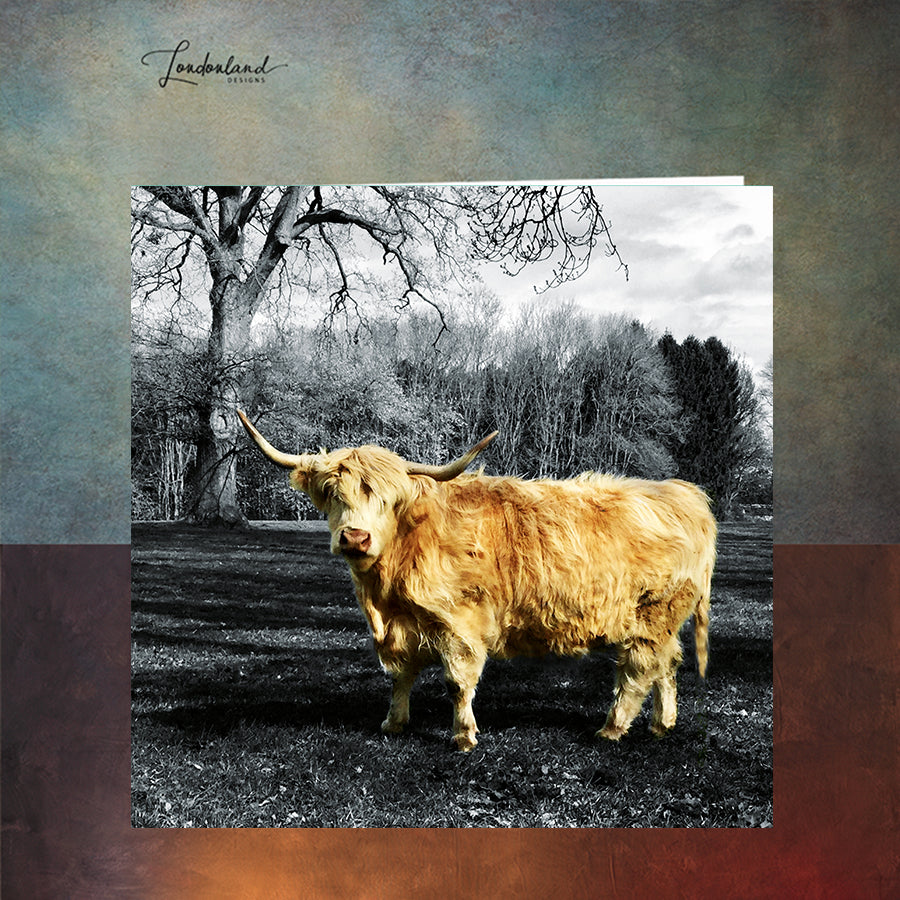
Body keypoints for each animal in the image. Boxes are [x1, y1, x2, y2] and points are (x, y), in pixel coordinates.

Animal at [237, 410, 717, 752]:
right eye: (332, 495)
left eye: (389, 501)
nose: (355, 537)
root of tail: (684, 494)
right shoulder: (402, 628)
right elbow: (400, 676)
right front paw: (394, 722)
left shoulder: (459, 623)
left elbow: (457, 681)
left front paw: (463, 735)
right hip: (664, 622)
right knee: (667, 666)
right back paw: (662, 724)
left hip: (651, 616)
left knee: (638, 671)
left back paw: (612, 728)